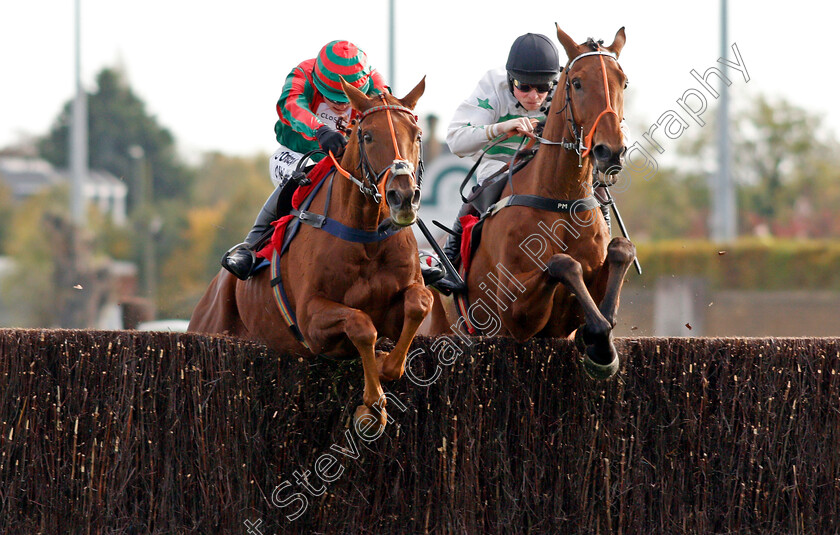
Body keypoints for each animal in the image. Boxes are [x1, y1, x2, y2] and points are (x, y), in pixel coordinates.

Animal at [189, 78, 434, 432]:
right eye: (368, 135)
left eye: (416, 135)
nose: (402, 198)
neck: (367, 235)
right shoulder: (311, 320)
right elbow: (361, 325)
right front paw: (372, 407)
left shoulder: (401, 300)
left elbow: (419, 304)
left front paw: (385, 365)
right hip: (212, 327)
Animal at [426, 24, 636, 376]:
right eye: (577, 82)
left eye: (624, 81)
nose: (611, 152)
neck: (561, 199)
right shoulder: (516, 314)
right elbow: (563, 263)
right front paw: (599, 342)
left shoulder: (566, 319)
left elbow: (621, 250)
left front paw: (601, 340)